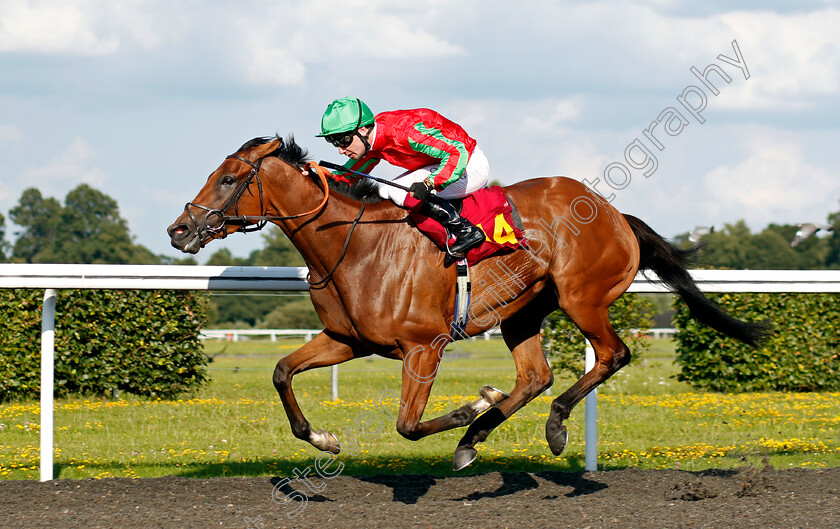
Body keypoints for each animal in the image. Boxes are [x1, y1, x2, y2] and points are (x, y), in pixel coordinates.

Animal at [166, 136, 768, 470]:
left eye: (228, 179)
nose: (179, 230)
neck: (352, 244)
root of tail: (616, 213)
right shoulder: (348, 340)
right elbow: (281, 371)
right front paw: (324, 438)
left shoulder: (422, 347)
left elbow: (408, 424)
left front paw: (467, 409)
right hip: (523, 311)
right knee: (535, 376)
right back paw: (477, 436)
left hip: (582, 297)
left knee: (612, 355)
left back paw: (548, 427)